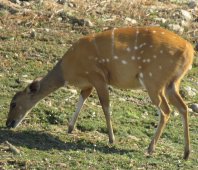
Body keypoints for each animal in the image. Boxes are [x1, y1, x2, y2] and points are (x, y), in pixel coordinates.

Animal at [5, 26, 193, 159]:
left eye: (13, 103)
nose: (8, 123)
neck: (68, 69)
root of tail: (190, 51)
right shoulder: (88, 83)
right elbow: (83, 98)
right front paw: (70, 128)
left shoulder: (97, 76)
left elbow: (105, 106)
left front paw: (111, 139)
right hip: (171, 84)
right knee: (183, 108)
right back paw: (186, 153)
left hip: (153, 81)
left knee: (166, 110)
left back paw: (150, 148)